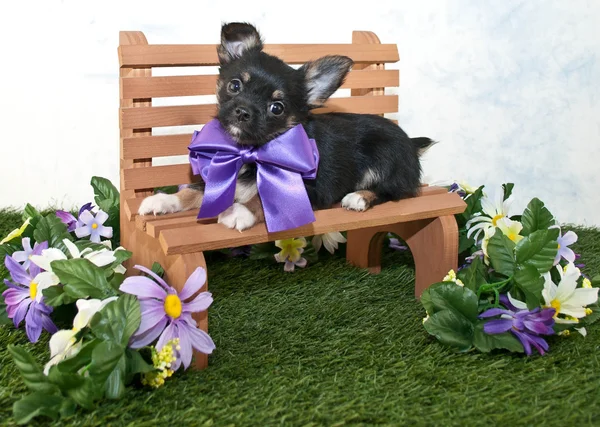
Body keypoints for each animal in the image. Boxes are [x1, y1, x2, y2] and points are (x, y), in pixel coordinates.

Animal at [138, 23, 434, 231]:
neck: (250, 151)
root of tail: (410, 144)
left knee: (393, 190)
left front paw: (239, 211)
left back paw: (358, 197)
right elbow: (196, 190)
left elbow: (261, 199)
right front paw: (166, 200)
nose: (243, 112)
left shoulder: (308, 189)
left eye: (277, 108)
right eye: (235, 85)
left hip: (387, 157)